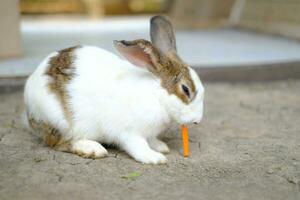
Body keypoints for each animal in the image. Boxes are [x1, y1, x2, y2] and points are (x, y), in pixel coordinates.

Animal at [24, 16, 204, 164]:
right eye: (186, 90)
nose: (197, 120)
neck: (156, 95)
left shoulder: (149, 133)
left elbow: (151, 140)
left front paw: (161, 147)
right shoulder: (129, 132)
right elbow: (138, 146)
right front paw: (155, 158)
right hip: (59, 121)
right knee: (58, 143)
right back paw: (92, 149)